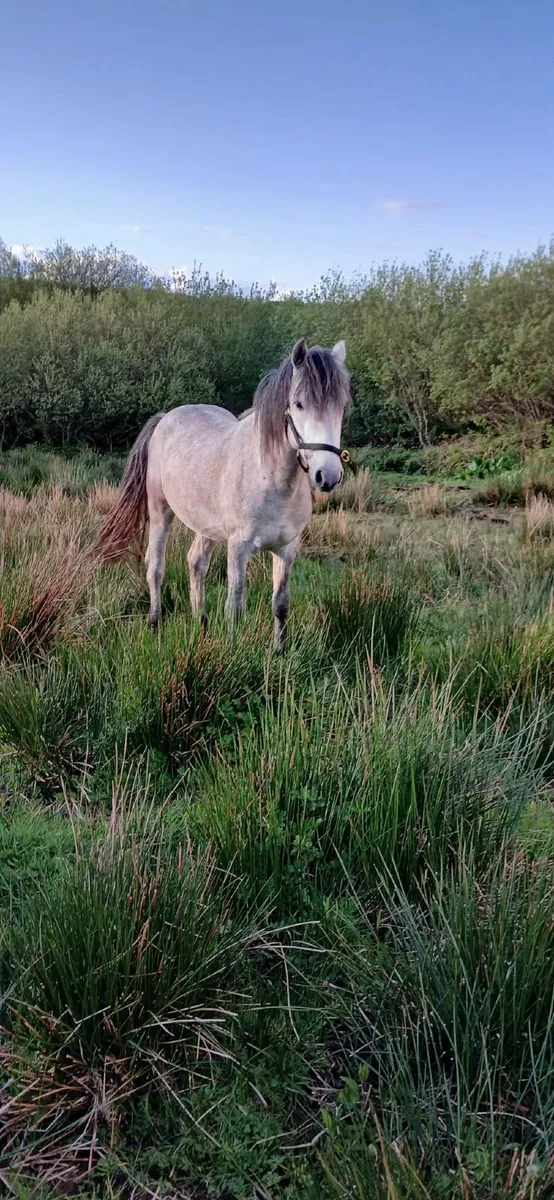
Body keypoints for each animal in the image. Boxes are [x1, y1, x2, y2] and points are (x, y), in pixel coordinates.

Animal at [96, 338, 352, 650]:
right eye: (299, 404)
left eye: (342, 406)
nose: (328, 476)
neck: (271, 479)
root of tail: (166, 417)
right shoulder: (238, 548)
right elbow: (235, 605)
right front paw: (232, 650)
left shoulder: (287, 549)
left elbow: (280, 603)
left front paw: (279, 651)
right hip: (160, 512)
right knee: (155, 567)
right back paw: (155, 625)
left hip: (205, 525)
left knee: (196, 563)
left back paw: (202, 625)